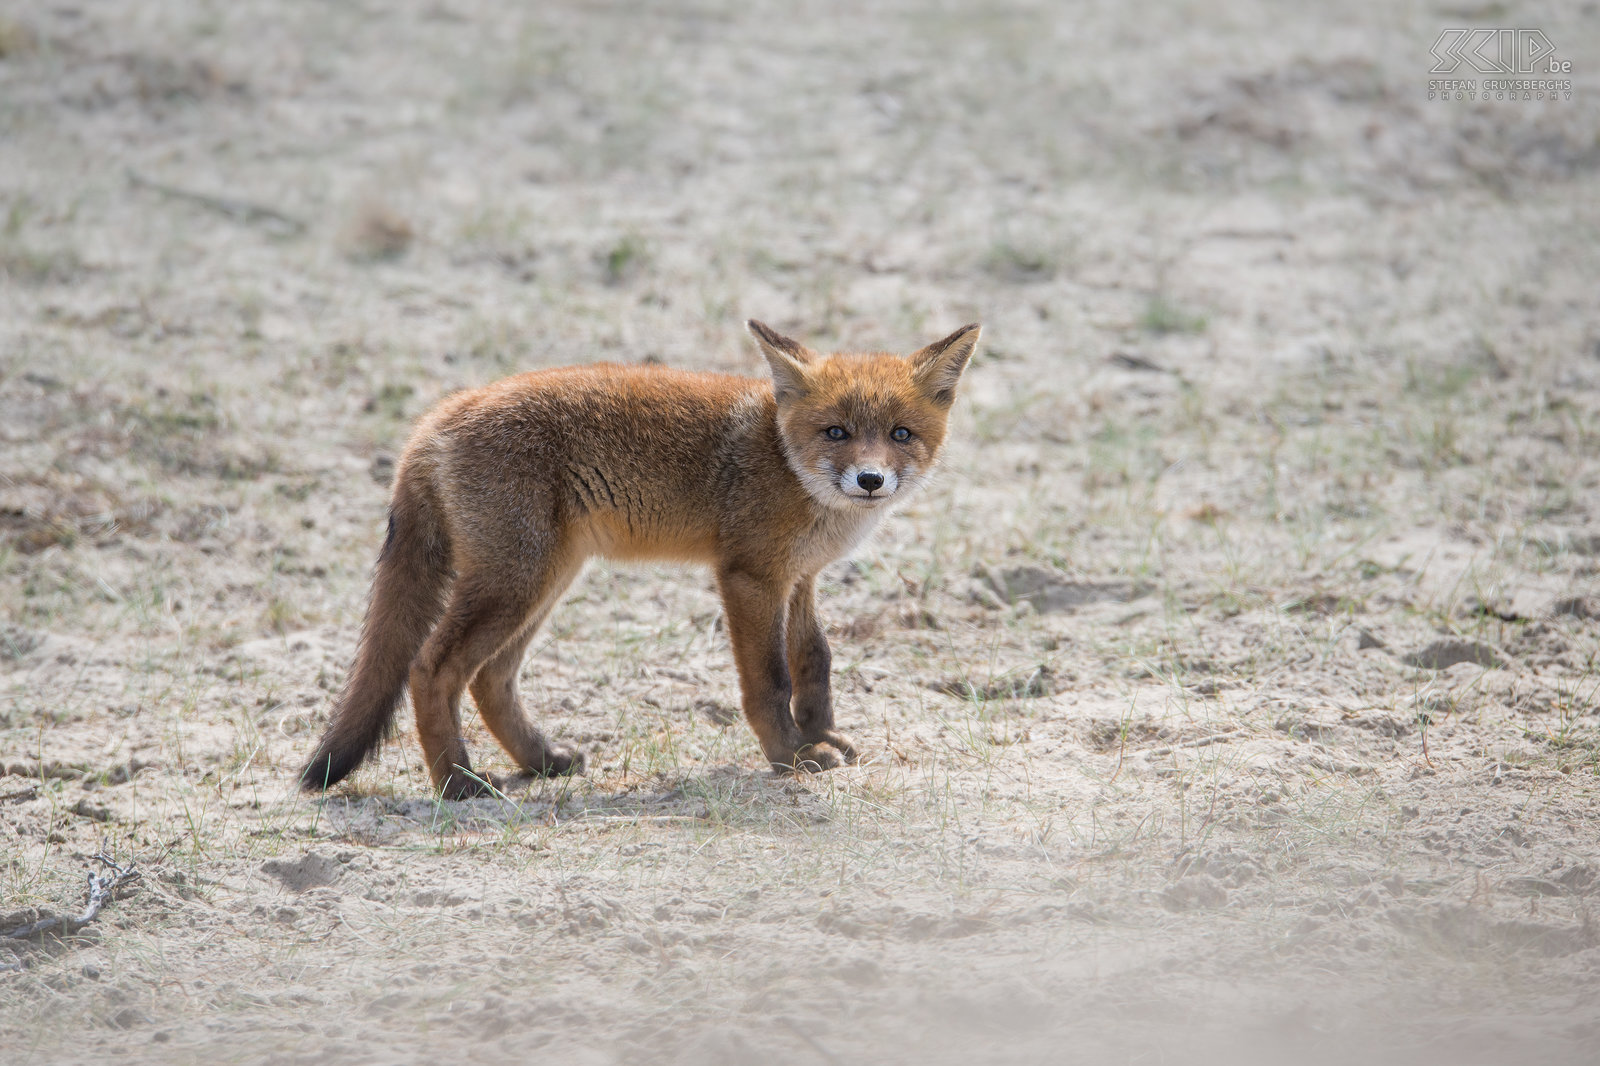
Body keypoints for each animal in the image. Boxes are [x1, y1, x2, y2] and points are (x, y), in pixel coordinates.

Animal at [294, 320, 979, 793]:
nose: (870, 480)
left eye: (900, 435)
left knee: (490, 679)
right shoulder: (750, 578)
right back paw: (459, 785)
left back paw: (540, 761)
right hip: (515, 583)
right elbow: (770, 680)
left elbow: (815, 663)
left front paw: (821, 737)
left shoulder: (801, 578)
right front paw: (789, 758)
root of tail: (436, 416)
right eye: (836, 432)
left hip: (543, 583)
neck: (785, 463)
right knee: (430, 670)